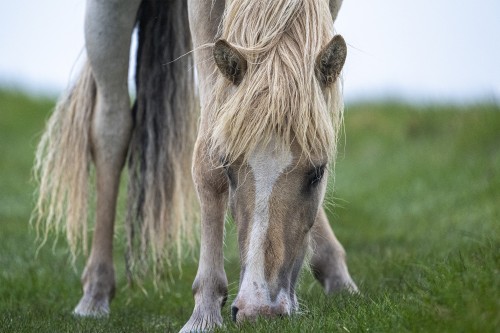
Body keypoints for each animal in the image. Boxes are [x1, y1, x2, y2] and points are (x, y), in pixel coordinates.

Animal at [33, 0, 358, 330]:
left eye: (318, 173)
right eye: (228, 168)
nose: (260, 311)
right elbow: (207, 156)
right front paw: (204, 312)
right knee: (111, 129)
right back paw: (95, 294)